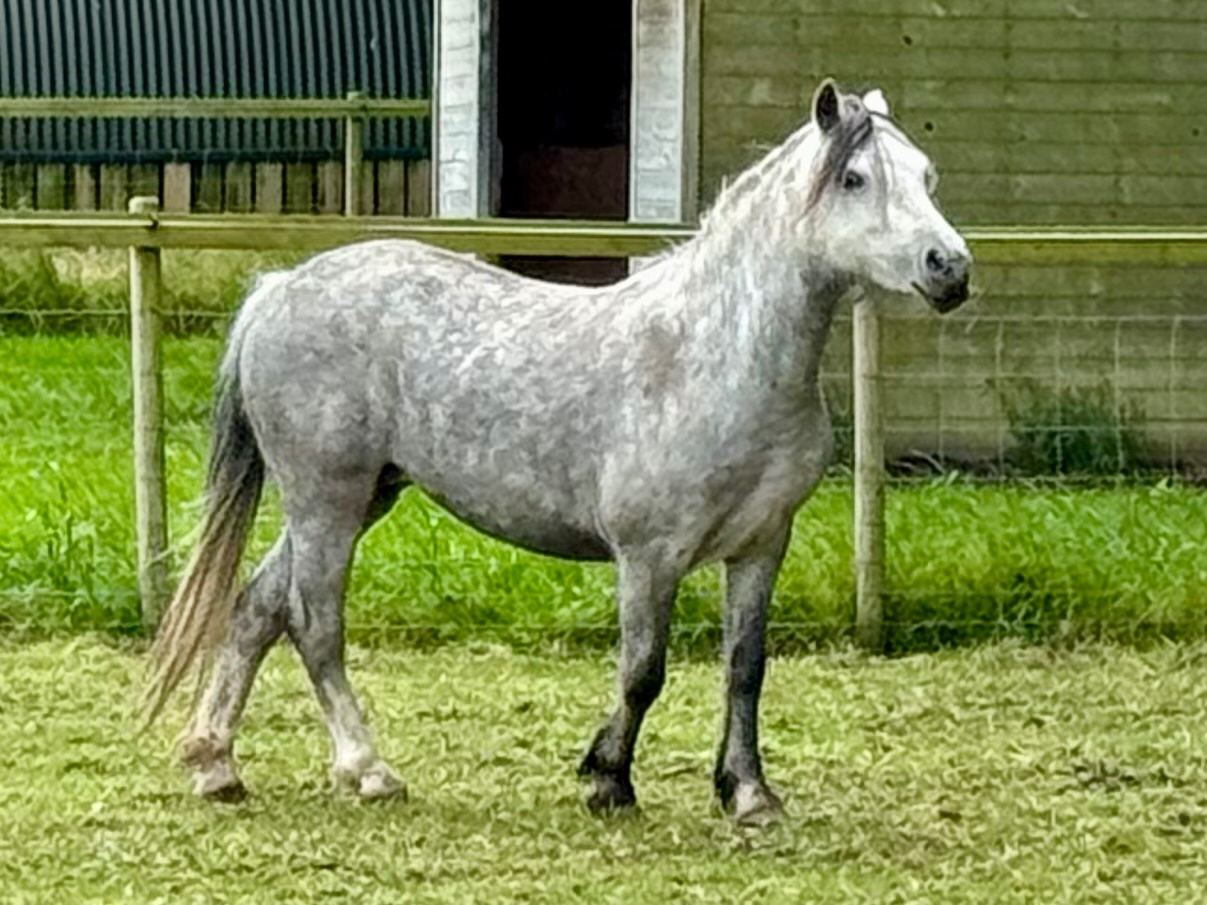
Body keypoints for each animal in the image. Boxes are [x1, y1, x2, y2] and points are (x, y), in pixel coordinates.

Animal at [141, 78, 970, 826]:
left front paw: (747, 793)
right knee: (313, 623)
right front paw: (608, 780)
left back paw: (216, 763)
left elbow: (744, 669)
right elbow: (643, 670)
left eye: (926, 174)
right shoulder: (649, 555)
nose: (950, 268)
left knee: (256, 607)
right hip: (327, 500)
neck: (712, 353)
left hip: (363, 494)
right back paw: (366, 769)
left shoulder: (761, 545)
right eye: (855, 179)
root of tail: (280, 287)